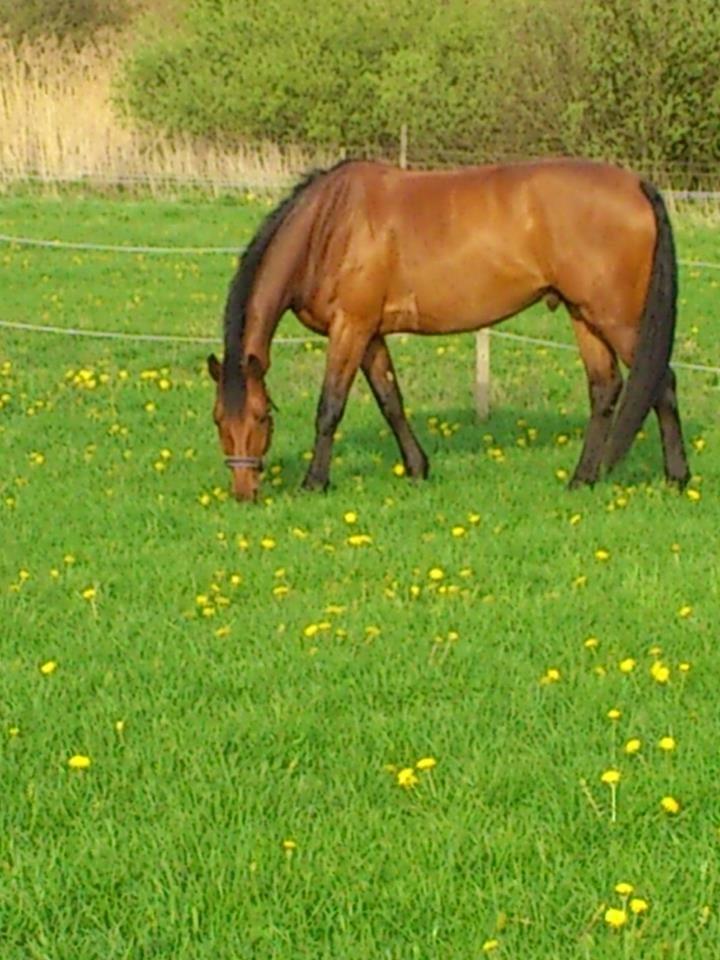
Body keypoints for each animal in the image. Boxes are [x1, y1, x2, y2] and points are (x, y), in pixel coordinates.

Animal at [205, 156, 688, 502]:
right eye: (218, 420)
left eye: (261, 416)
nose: (244, 493)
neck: (331, 223)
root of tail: (637, 185)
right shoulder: (370, 334)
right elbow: (391, 401)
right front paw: (418, 469)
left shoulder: (351, 328)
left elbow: (330, 407)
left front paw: (314, 483)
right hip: (583, 314)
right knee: (605, 390)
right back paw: (582, 480)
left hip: (618, 318)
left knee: (660, 382)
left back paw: (677, 479)